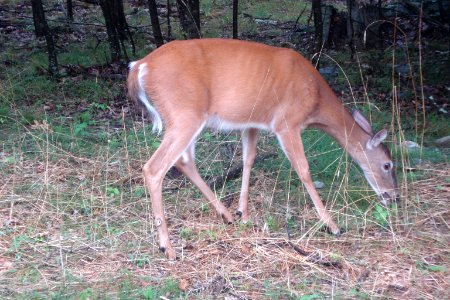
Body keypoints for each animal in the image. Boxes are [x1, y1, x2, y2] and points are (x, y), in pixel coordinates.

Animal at [127, 38, 400, 258]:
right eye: (388, 165)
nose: (394, 196)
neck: (316, 100)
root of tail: (140, 66)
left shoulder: (252, 122)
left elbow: (249, 159)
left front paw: (243, 213)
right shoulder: (287, 122)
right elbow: (304, 170)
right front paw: (332, 225)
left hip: (186, 118)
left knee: (184, 162)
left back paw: (226, 215)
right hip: (185, 113)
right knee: (155, 168)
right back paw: (168, 247)